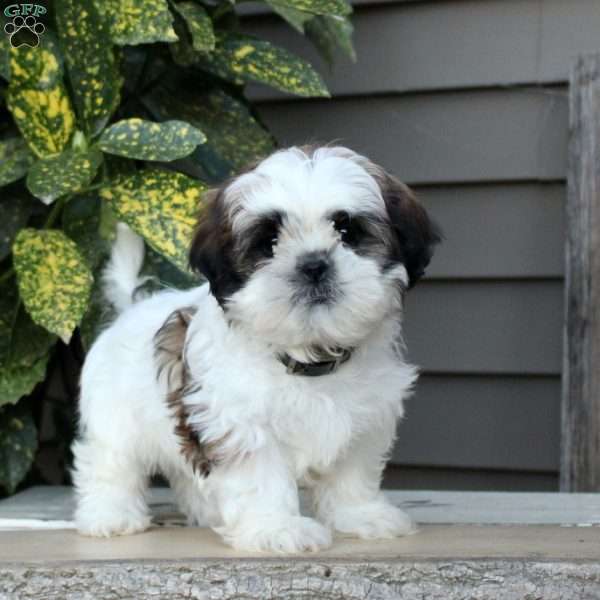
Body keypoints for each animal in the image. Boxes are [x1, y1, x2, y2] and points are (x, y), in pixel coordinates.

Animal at [74, 144, 440, 552]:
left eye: (347, 231)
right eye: (269, 244)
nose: (314, 264)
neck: (305, 358)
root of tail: (128, 310)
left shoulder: (367, 414)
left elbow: (352, 470)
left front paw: (362, 515)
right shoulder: (240, 424)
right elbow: (261, 477)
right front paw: (277, 528)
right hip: (115, 419)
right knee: (110, 462)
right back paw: (110, 515)